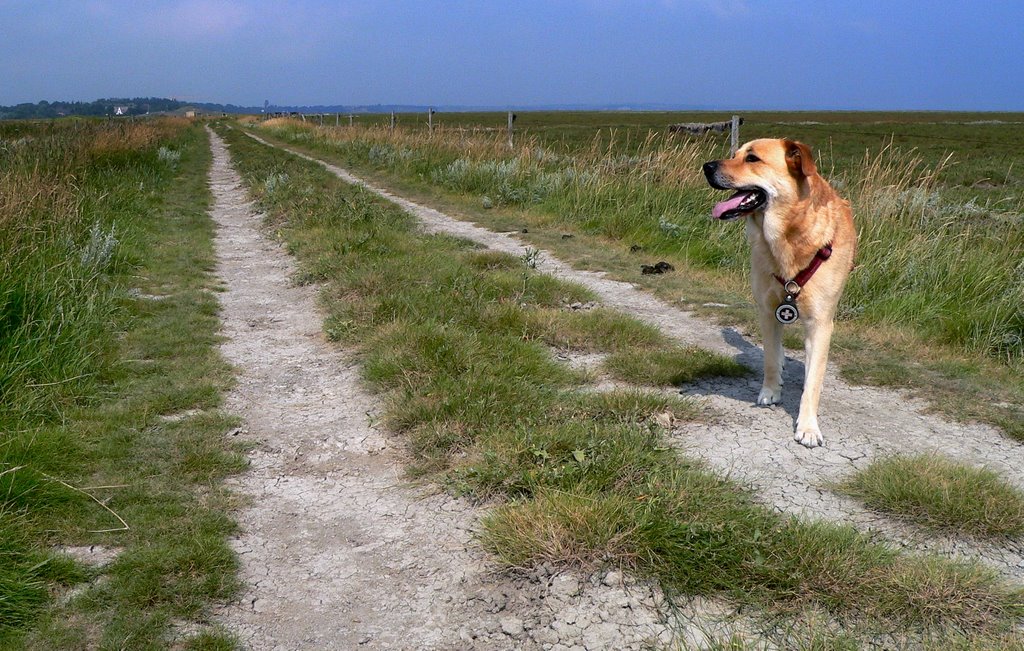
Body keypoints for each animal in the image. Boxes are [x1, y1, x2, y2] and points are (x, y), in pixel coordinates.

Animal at [704, 140, 856, 448]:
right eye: (735, 154)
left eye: (752, 158)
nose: (706, 166)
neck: (790, 238)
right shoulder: (767, 310)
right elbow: (770, 358)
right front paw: (770, 391)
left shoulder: (821, 323)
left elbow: (813, 382)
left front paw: (808, 426)